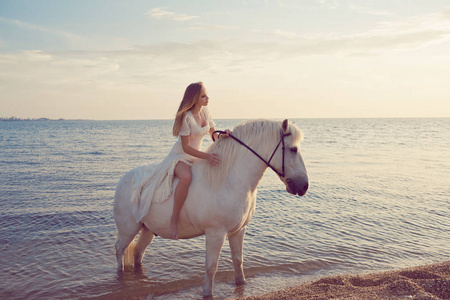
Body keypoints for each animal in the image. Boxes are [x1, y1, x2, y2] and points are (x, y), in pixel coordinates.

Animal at [113, 118, 310, 296]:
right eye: (293, 149)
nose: (304, 186)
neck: (229, 179)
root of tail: (124, 180)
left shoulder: (239, 231)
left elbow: (238, 260)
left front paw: (241, 285)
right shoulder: (216, 233)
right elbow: (211, 267)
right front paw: (207, 293)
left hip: (147, 230)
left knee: (138, 253)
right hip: (128, 230)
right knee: (119, 250)